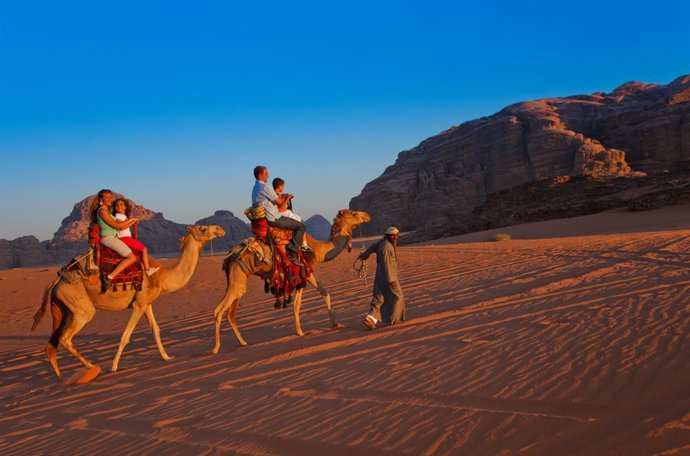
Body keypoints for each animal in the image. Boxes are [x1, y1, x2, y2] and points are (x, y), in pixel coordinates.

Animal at [32, 225, 226, 381]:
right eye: (202, 228)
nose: (220, 229)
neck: (161, 275)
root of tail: (56, 282)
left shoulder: (146, 303)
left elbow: (155, 330)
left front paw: (167, 357)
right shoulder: (138, 305)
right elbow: (125, 336)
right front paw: (114, 367)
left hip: (61, 310)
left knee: (51, 345)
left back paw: (61, 378)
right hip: (81, 308)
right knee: (66, 338)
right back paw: (92, 367)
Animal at [212, 209, 370, 353]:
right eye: (354, 213)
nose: (367, 215)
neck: (316, 250)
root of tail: (229, 257)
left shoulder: (300, 275)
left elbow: (308, 299)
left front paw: (324, 327)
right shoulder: (305, 270)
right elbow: (312, 297)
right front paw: (315, 329)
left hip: (237, 281)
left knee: (229, 313)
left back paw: (243, 343)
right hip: (238, 278)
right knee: (219, 312)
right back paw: (216, 348)